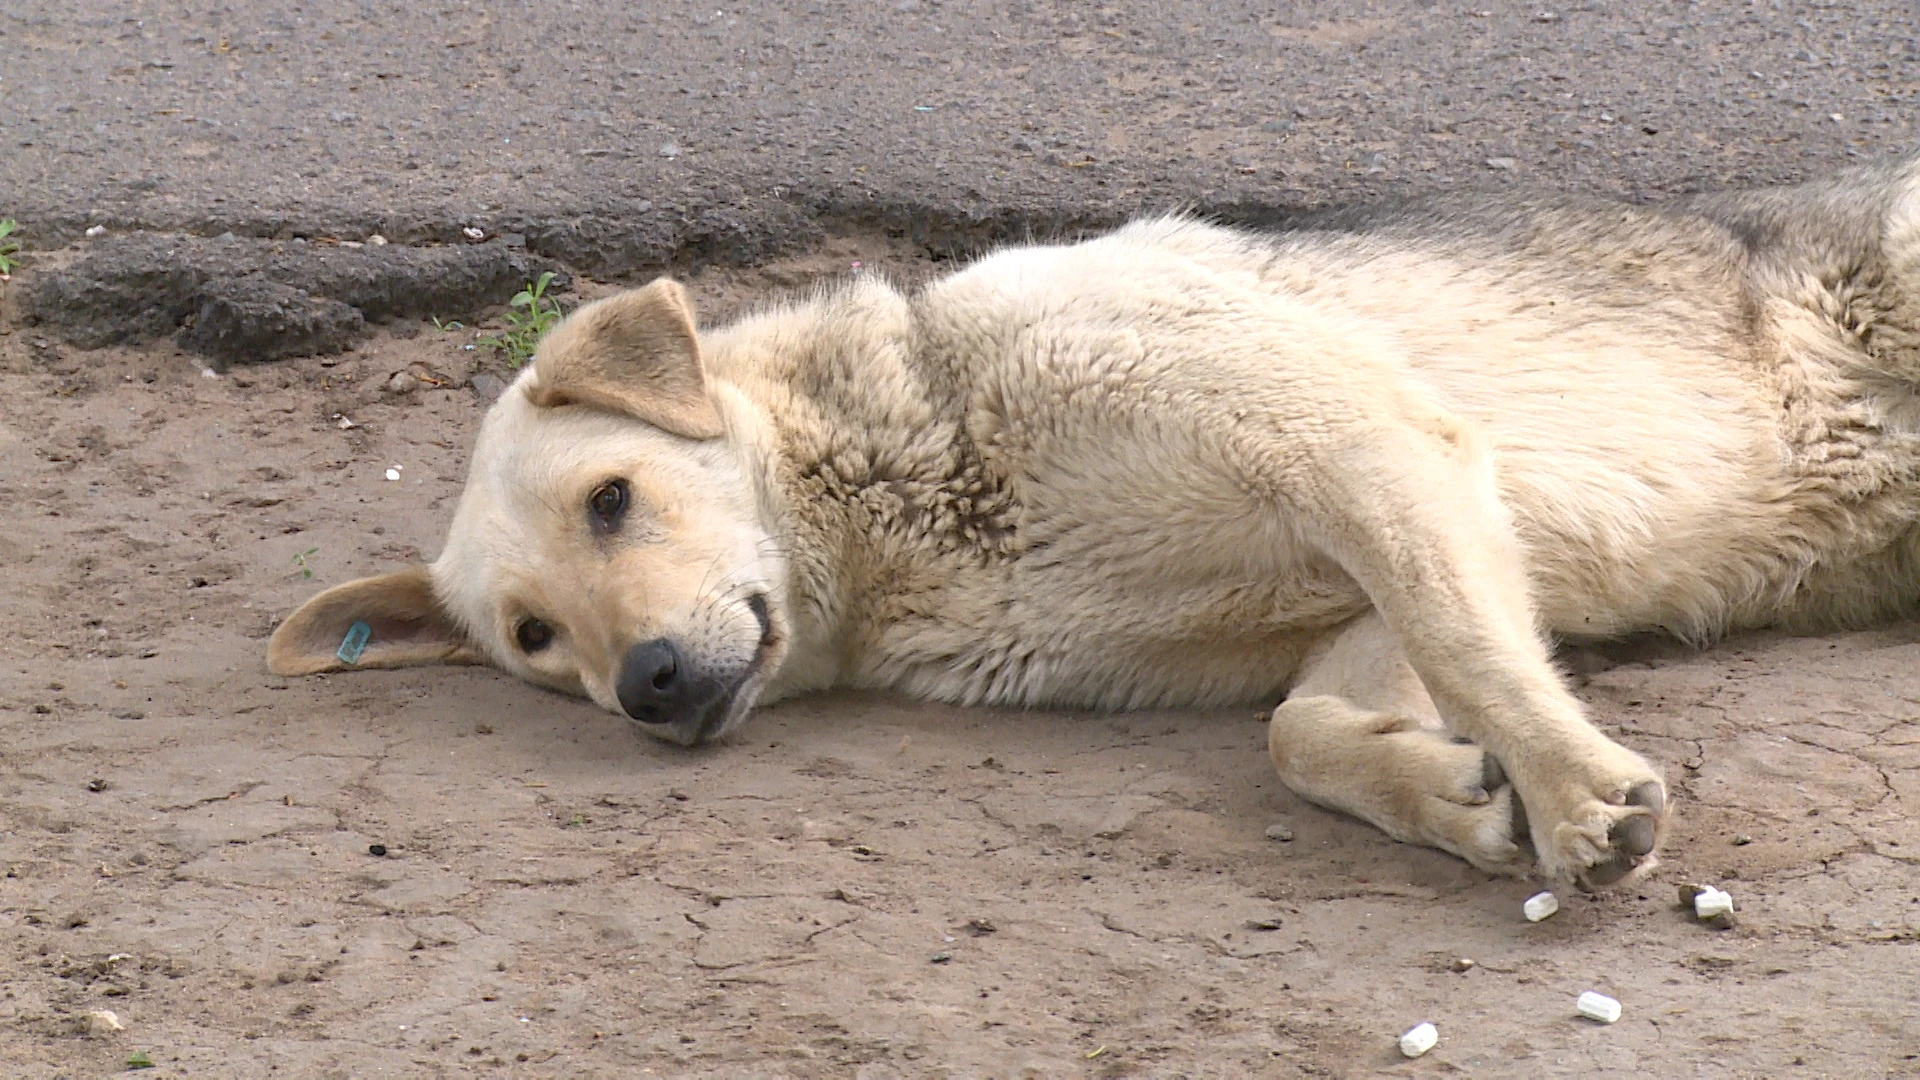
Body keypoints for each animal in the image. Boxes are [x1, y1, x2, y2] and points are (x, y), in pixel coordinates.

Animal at [266, 157, 1920, 883]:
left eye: (613, 501)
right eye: (537, 639)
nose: (652, 691)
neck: (928, 495)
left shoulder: (1365, 445)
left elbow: (1470, 650)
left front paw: (1575, 799)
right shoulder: (1373, 576)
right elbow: (1311, 728)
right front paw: (1453, 795)